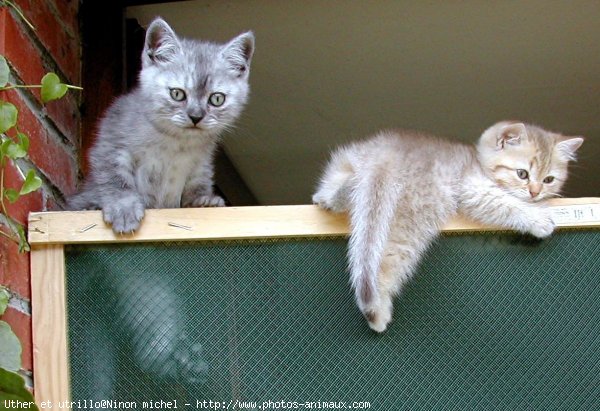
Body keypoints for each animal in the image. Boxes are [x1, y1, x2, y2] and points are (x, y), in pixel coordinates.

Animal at [69, 17, 253, 233]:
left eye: (217, 99)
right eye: (177, 93)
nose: (196, 116)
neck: (176, 143)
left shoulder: (201, 165)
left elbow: (197, 184)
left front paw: (202, 201)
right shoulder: (111, 143)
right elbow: (115, 179)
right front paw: (124, 209)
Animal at [312, 120, 584, 334]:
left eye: (549, 179)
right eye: (522, 174)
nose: (535, 192)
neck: (478, 161)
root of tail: (390, 152)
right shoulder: (473, 189)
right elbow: (504, 204)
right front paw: (538, 219)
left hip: (348, 163)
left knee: (331, 192)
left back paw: (336, 194)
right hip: (415, 218)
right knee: (387, 264)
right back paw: (379, 311)